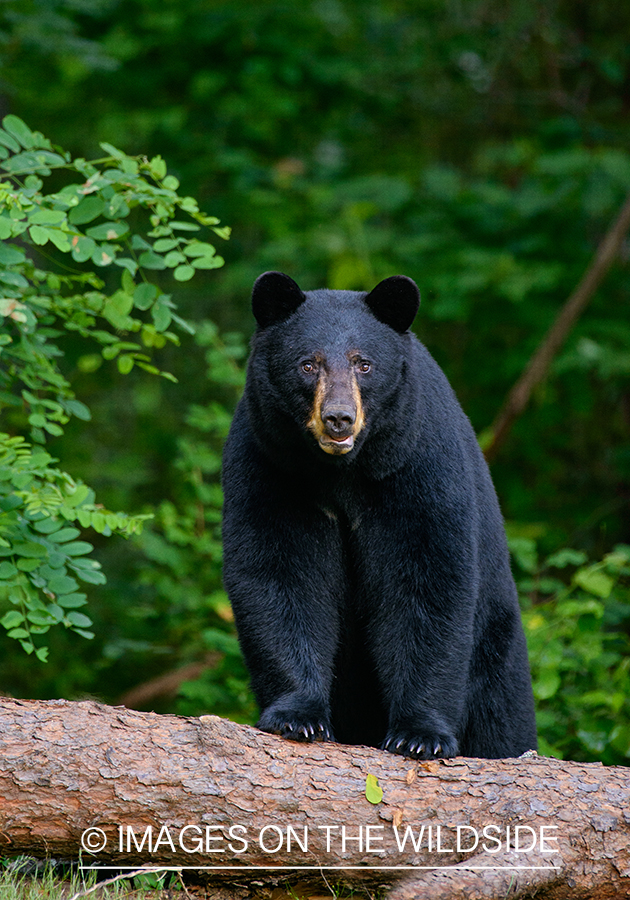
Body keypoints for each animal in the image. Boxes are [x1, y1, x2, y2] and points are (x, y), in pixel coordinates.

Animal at [222, 268, 540, 760]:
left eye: (364, 364)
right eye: (308, 364)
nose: (338, 418)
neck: (341, 472)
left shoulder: (416, 465)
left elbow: (426, 581)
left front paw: (419, 734)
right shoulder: (271, 465)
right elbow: (279, 573)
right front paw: (298, 716)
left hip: (497, 645)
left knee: (502, 718)